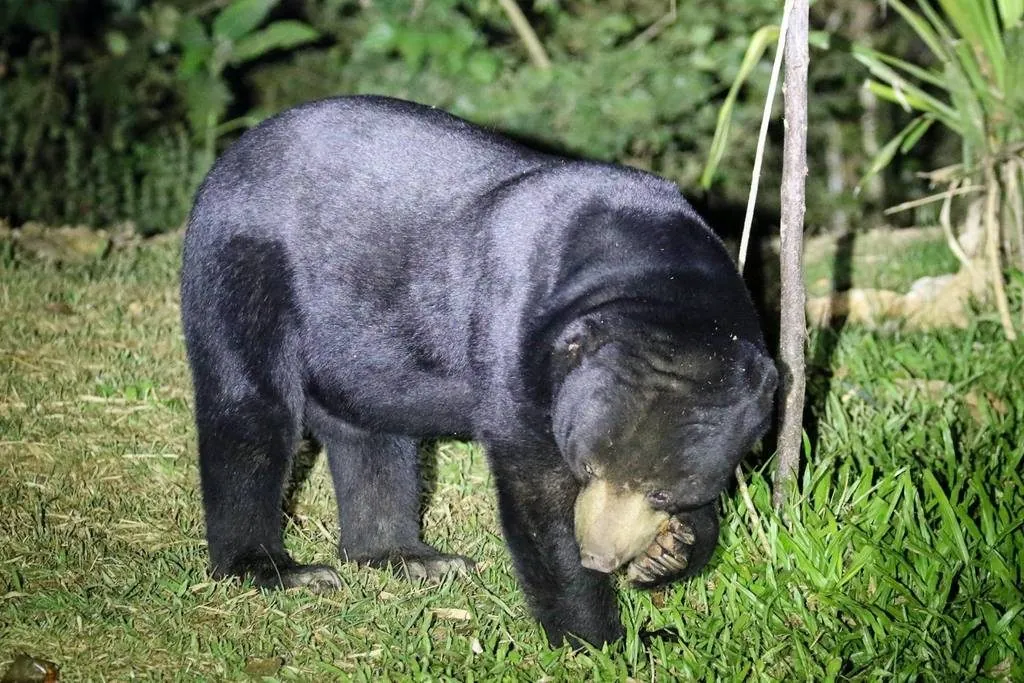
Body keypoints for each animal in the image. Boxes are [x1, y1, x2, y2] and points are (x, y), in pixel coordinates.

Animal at [180, 95, 777, 648]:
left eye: (663, 492)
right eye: (586, 466)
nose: (600, 557)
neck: (653, 269)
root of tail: (231, 157)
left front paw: (670, 551)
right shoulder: (518, 341)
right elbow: (537, 500)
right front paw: (613, 639)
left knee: (372, 438)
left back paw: (408, 556)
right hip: (245, 265)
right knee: (250, 411)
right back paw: (277, 569)